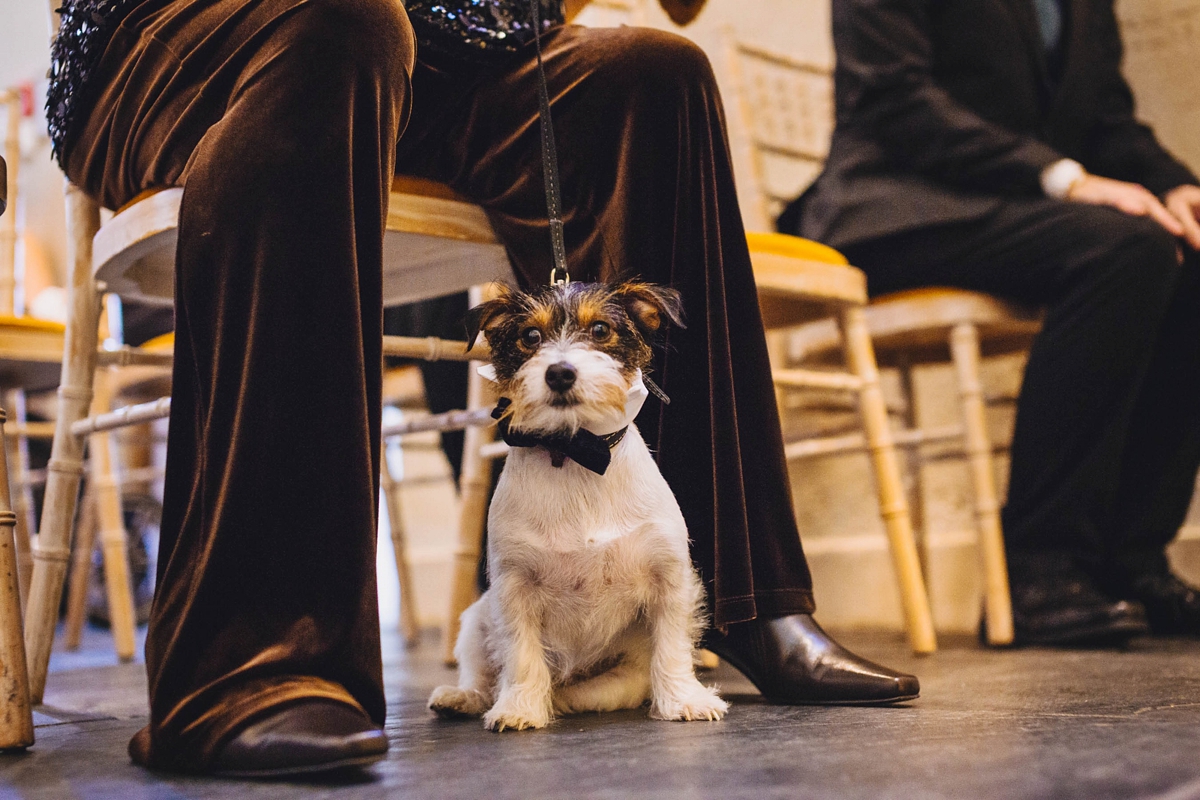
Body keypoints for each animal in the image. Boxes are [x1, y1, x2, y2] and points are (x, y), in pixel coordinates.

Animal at [427, 278, 724, 729]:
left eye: (600, 330)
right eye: (530, 337)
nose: (560, 372)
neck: (574, 452)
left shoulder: (670, 578)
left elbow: (672, 648)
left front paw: (684, 700)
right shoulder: (513, 587)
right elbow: (521, 654)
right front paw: (519, 707)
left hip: (614, 682)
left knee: (578, 693)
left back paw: (558, 700)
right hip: (476, 620)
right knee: (482, 674)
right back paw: (463, 697)